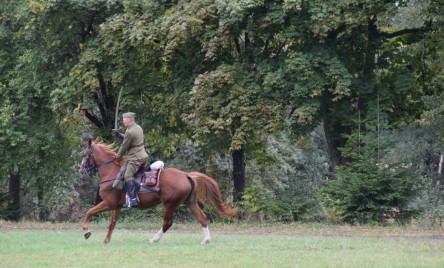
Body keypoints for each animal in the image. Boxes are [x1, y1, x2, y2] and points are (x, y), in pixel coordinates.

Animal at [78, 138, 236, 245]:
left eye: (85, 154)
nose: (80, 170)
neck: (112, 172)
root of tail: (186, 175)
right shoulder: (116, 206)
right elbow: (112, 224)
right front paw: (106, 241)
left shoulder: (108, 203)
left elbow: (89, 212)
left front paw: (86, 232)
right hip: (190, 202)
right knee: (202, 218)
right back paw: (206, 239)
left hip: (169, 204)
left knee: (167, 223)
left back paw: (153, 239)